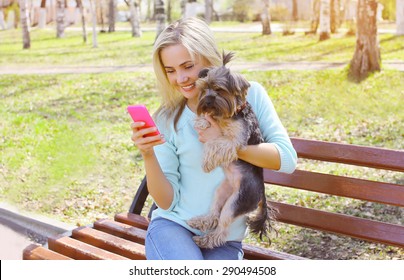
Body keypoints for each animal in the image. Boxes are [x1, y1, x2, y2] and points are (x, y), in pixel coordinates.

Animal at [188, 52, 276, 249]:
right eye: (203, 89)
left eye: (219, 90)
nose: (207, 101)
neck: (230, 113)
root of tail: (261, 192)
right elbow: (206, 122)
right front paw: (201, 121)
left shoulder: (236, 139)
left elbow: (217, 142)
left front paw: (207, 161)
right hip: (221, 190)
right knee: (214, 212)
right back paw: (202, 221)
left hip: (238, 201)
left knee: (222, 227)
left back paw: (206, 240)